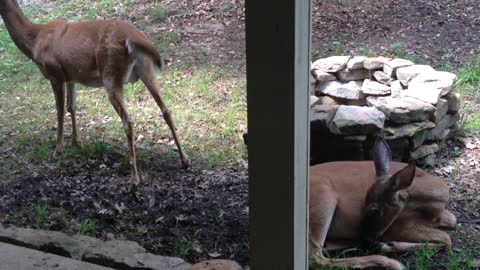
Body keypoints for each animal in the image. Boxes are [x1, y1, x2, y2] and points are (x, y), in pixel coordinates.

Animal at [0, 0, 191, 191]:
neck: (34, 40)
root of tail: (135, 37)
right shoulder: (70, 77)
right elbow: (71, 106)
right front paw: (75, 141)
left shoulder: (55, 74)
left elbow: (59, 112)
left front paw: (58, 149)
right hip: (146, 69)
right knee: (166, 110)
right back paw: (185, 160)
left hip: (111, 74)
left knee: (128, 121)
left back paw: (134, 181)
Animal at [310, 138, 456, 268]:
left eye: (375, 210)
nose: (367, 239)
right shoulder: (399, 227)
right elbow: (446, 238)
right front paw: (387, 245)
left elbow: (452, 222)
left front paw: (387, 245)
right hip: (323, 197)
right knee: (316, 258)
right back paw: (392, 263)